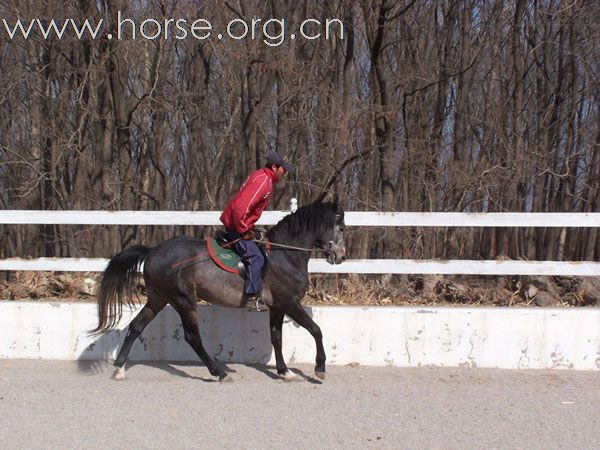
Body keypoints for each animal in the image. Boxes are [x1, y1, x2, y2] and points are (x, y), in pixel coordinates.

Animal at [90, 199, 346, 382]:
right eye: (341, 227)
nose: (340, 257)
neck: (285, 254)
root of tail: (152, 251)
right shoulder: (289, 303)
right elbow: (316, 330)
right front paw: (320, 367)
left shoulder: (277, 307)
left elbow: (277, 338)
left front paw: (285, 372)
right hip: (184, 300)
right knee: (192, 337)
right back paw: (218, 372)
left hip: (158, 298)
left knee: (136, 326)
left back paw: (119, 369)